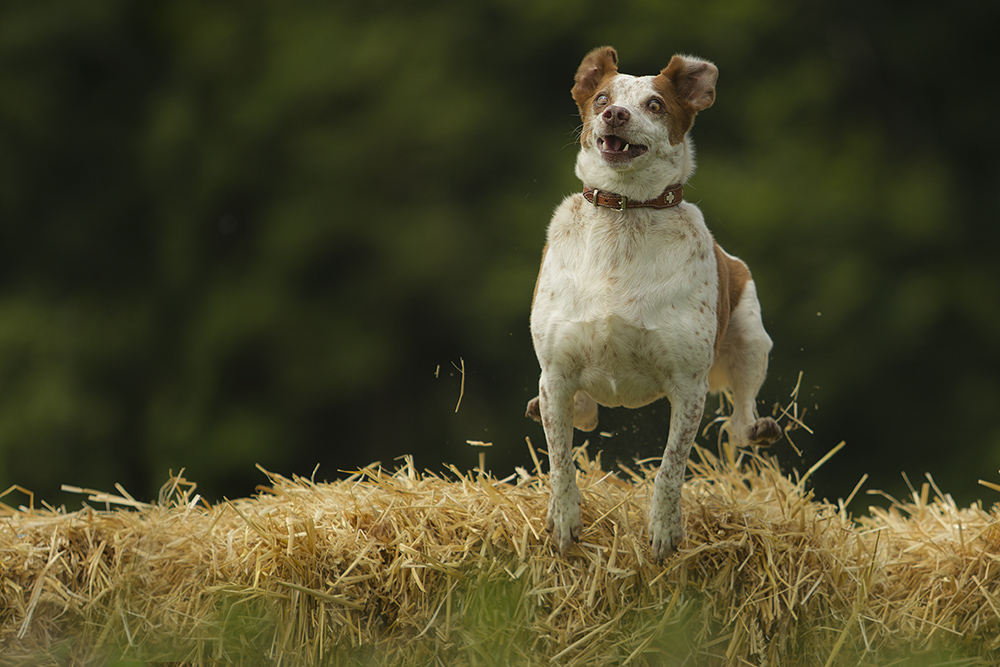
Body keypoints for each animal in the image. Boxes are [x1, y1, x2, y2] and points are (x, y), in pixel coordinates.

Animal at [524, 45, 780, 560]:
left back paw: (757, 426)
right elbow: (561, 459)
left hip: (750, 340)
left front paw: (664, 531)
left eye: (655, 104)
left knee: (741, 422)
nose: (614, 115)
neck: (626, 216)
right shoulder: (556, 373)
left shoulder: (688, 386)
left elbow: (669, 468)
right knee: (580, 413)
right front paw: (564, 521)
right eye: (602, 98)